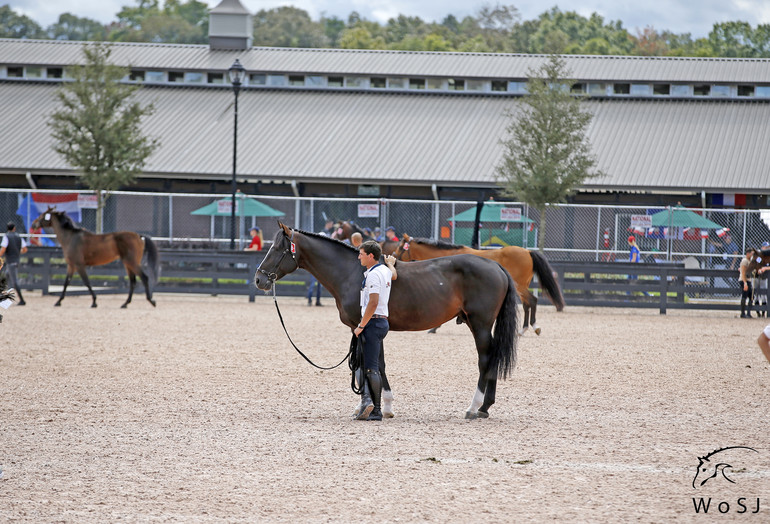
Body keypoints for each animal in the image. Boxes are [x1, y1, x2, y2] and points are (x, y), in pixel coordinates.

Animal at [30, 208, 160, 310]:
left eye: (42, 216)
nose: (33, 224)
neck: (71, 238)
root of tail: (139, 236)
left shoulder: (79, 265)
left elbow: (86, 282)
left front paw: (94, 302)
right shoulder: (71, 265)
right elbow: (66, 282)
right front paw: (58, 301)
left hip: (132, 262)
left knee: (144, 278)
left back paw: (151, 301)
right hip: (128, 264)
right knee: (133, 282)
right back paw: (125, 303)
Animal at [255, 223, 520, 420]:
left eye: (278, 249)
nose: (259, 279)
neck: (353, 273)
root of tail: (496, 265)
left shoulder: (365, 327)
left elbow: (372, 365)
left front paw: (382, 407)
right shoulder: (361, 329)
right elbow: (368, 365)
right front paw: (367, 406)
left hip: (480, 324)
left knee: (485, 359)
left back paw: (475, 407)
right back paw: (485, 408)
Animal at [392, 234, 560, 336]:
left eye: (400, 248)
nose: (393, 257)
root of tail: (527, 252)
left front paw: (434, 328)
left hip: (520, 286)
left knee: (531, 301)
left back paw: (530, 327)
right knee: (528, 303)